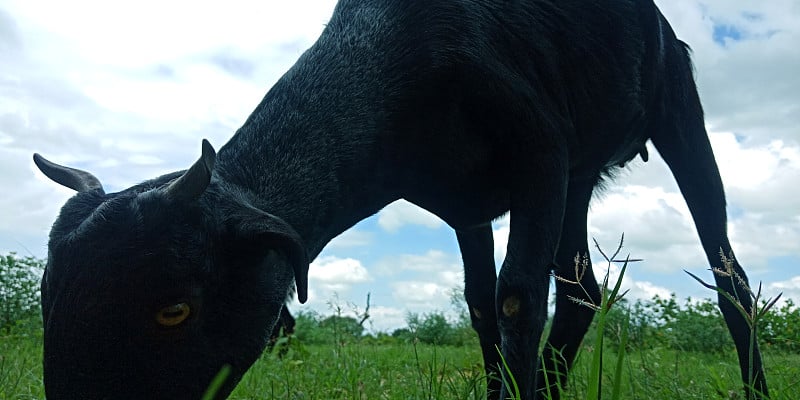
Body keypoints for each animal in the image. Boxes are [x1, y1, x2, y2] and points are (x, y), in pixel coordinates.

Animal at [36, 0, 768, 400]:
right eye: (48, 299)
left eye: (174, 309)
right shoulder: (471, 205)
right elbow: (480, 306)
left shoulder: (541, 154)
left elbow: (516, 297)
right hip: (584, 173)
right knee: (582, 287)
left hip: (676, 109)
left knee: (729, 277)